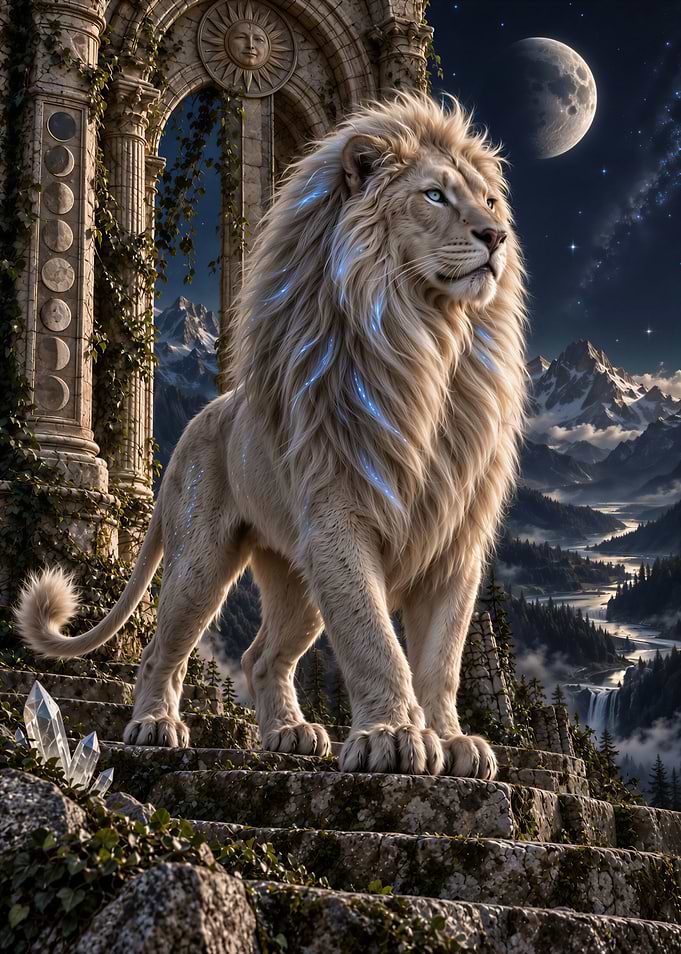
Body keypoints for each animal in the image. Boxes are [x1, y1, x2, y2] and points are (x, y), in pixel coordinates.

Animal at [16, 92, 528, 778]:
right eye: (434, 196)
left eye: (491, 201)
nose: (496, 236)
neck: (431, 346)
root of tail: (199, 419)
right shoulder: (339, 519)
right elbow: (374, 640)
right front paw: (394, 737)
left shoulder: (454, 541)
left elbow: (440, 660)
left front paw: (451, 742)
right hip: (202, 559)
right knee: (161, 648)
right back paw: (154, 726)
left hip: (295, 572)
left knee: (261, 657)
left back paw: (290, 733)